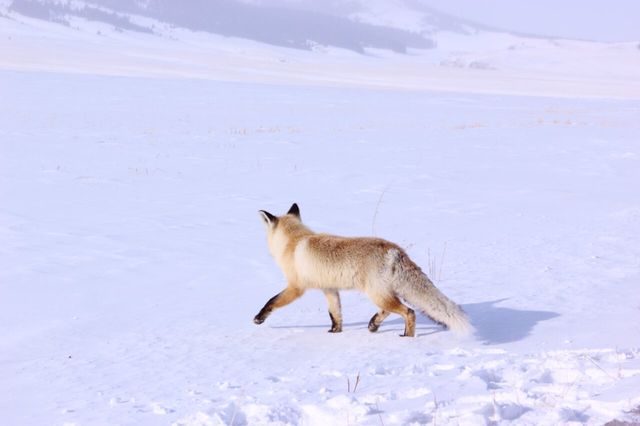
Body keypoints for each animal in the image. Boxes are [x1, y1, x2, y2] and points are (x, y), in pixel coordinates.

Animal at [254, 205, 470, 338]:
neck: (294, 241)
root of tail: (394, 249)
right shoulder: (329, 289)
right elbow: (335, 314)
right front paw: (335, 332)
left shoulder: (296, 287)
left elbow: (272, 301)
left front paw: (259, 317)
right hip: (382, 293)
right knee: (390, 310)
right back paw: (374, 324)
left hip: (376, 294)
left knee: (409, 312)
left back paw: (407, 337)